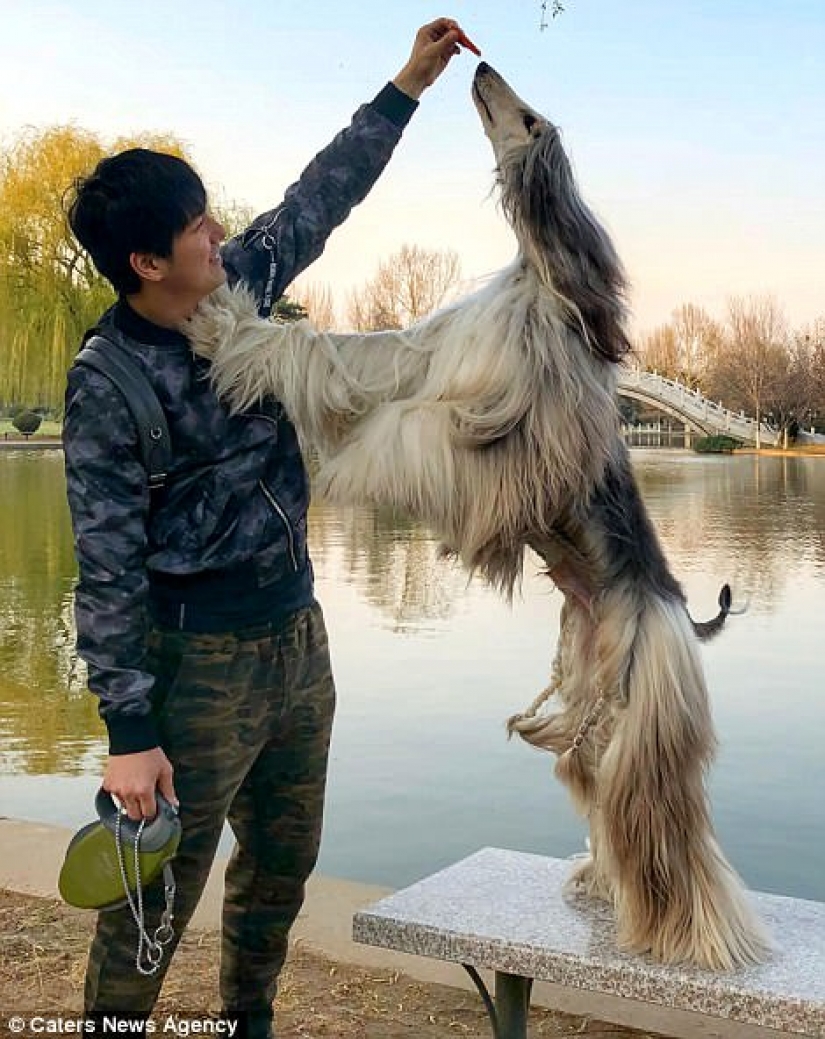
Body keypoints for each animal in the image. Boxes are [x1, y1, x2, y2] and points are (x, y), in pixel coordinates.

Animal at [184, 60, 764, 968]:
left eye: (524, 115)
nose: (481, 66)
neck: (543, 282)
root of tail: (674, 610)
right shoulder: (430, 355)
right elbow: (349, 354)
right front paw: (238, 321)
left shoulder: (509, 434)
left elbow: (401, 428)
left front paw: (246, 344)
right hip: (592, 710)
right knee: (603, 798)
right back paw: (600, 880)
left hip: (647, 725)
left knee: (666, 831)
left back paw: (698, 932)